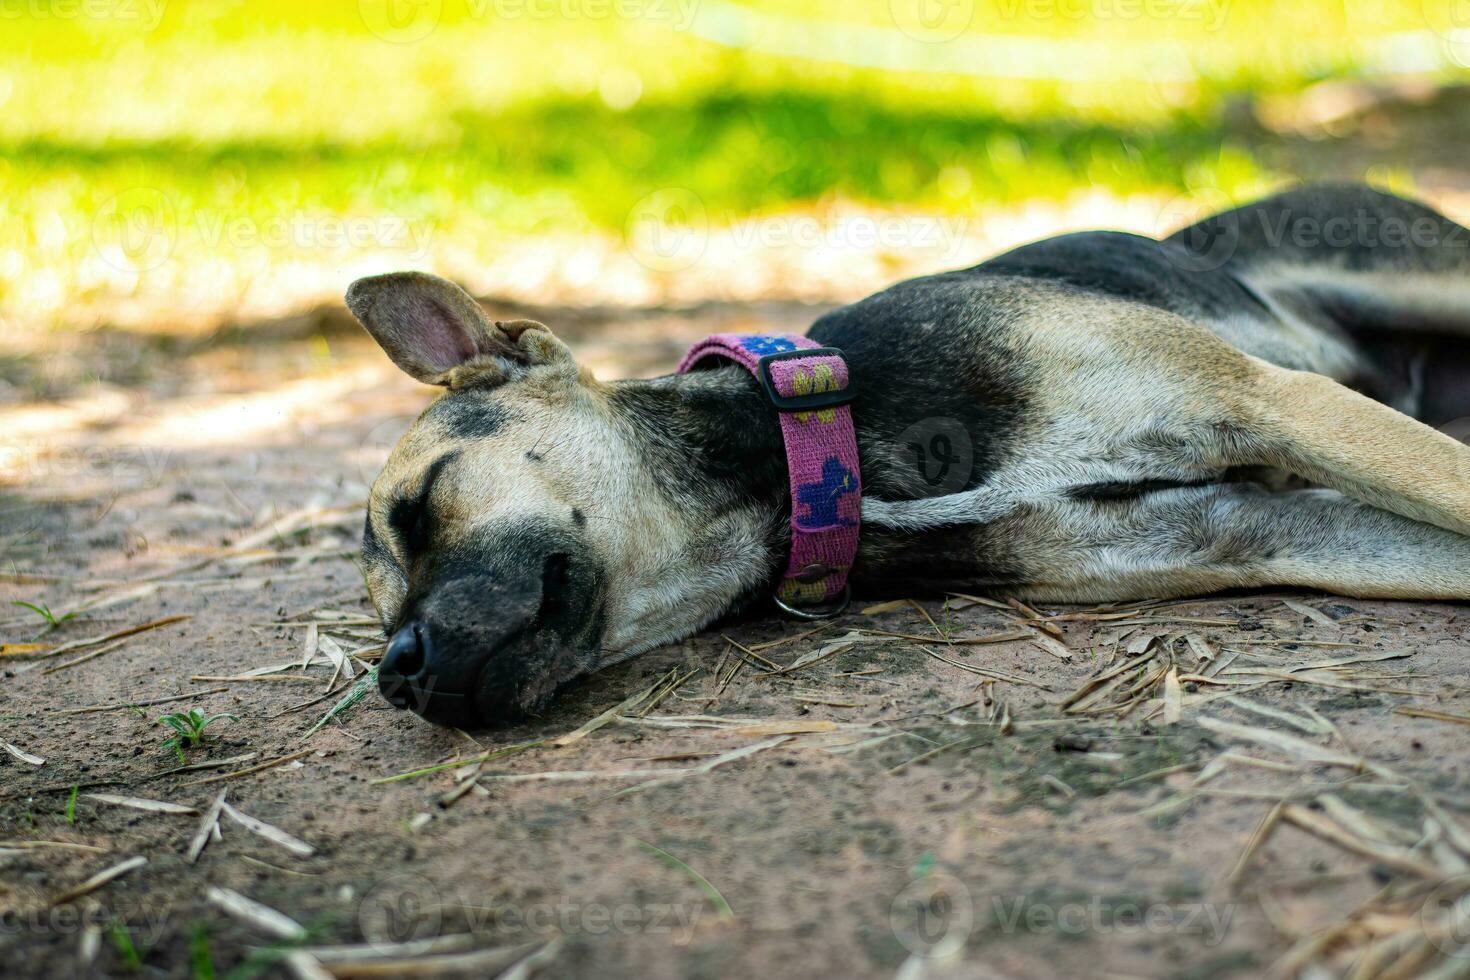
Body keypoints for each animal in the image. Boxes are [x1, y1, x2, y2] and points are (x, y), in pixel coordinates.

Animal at [341, 182, 1470, 728]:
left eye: (423, 503)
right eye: (380, 614)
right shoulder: (1248, 526)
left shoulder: (1265, 403)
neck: (821, 457)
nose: (399, 673)